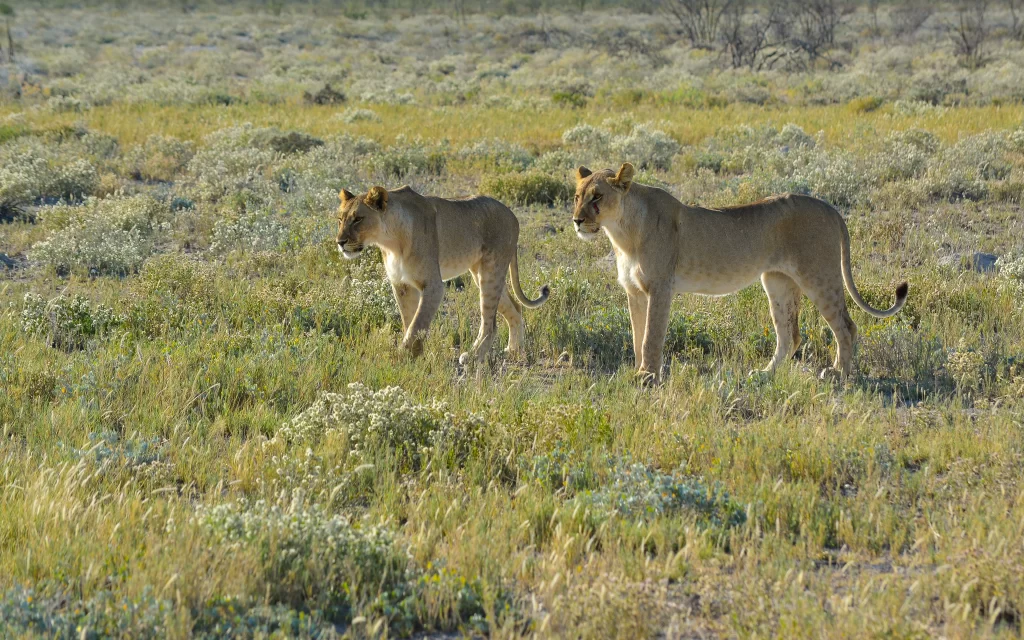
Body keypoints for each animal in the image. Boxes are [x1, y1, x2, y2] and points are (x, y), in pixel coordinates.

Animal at [336, 185, 550, 363]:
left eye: (358, 219)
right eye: (340, 219)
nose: (340, 242)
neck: (390, 242)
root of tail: (512, 213)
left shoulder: (433, 285)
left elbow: (418, 323)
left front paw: (402, 356)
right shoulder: (401, 285)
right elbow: (409, 321)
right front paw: (416, 354)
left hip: (491, 271)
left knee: (490, 324)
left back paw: (474, 356)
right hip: (481, 273)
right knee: (515, 307)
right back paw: (514, 350)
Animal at [572, 163, 908, 383]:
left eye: (597, 196)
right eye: (577, 196)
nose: (576, 220)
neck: (621, 233)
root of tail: (828, 206)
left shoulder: (660, 288)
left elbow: (651, 336)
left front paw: (647, 377)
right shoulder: (635, 291)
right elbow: (636, 335)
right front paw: (639, 371)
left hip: (819, 276)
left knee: (846, 327)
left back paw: (839, 375)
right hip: (777, 282)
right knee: (790, 335)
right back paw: (764, 375)